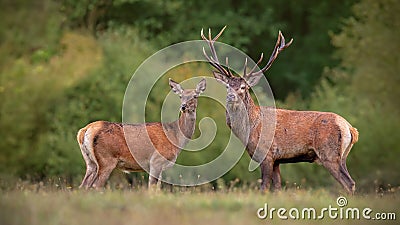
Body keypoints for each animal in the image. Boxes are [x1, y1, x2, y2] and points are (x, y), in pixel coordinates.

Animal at [76, 78, 206, 189]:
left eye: (195, 96)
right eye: (180, 96)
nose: (183, 107)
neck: (176, 138)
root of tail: (85, 130)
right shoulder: (156, 161)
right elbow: (151, 188)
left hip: (90, 162)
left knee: (83, 186)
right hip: (106, 159)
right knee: (95, 186)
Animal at [203, 27, 360, 194]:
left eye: (243, 87)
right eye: (227, 86)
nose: (231, 96)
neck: (250, 129)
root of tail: (350, 128)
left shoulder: (266, 154)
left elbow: (264, 187)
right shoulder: (277, 160)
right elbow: (277, 188)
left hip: (329, 154)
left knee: (348, 182)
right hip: (342, 157)